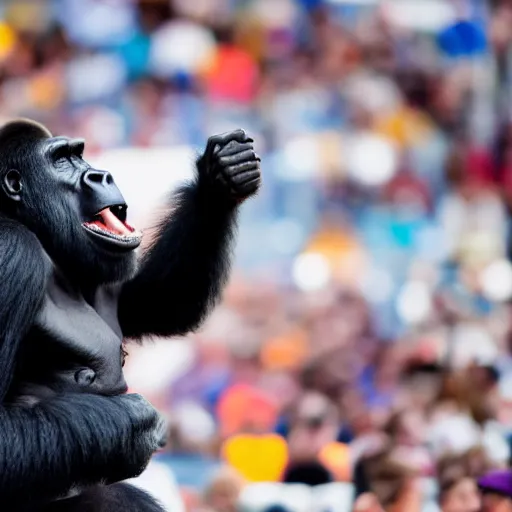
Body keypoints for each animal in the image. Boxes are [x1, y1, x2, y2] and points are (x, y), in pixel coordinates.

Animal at [0, 118, 262, 510]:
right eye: (61, 160)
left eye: (79, 154)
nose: (100, 174)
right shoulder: (12, 253)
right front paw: (135, 425)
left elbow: (157, 303)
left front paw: (220, 178)